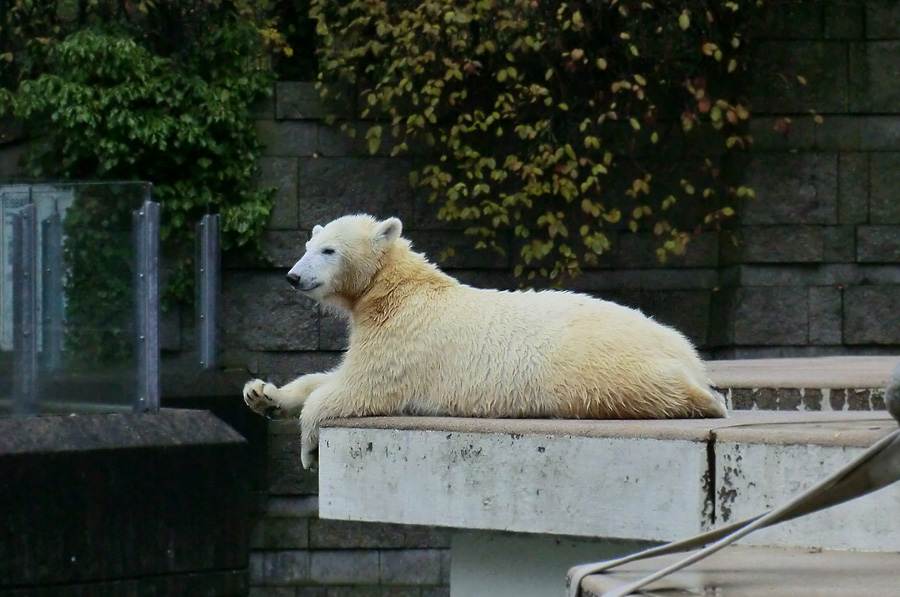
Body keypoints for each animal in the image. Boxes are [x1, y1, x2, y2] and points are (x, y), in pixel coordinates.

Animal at [243, 214, 728, 470]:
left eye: (328, 250)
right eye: (309, 245)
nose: (293, 276)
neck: (397, 289)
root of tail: (685, 353)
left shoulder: (406, 339)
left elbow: (359, 387)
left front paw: (308, 449)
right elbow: (330, 375)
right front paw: (263, 394)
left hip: (596, 370)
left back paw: (710, 400)